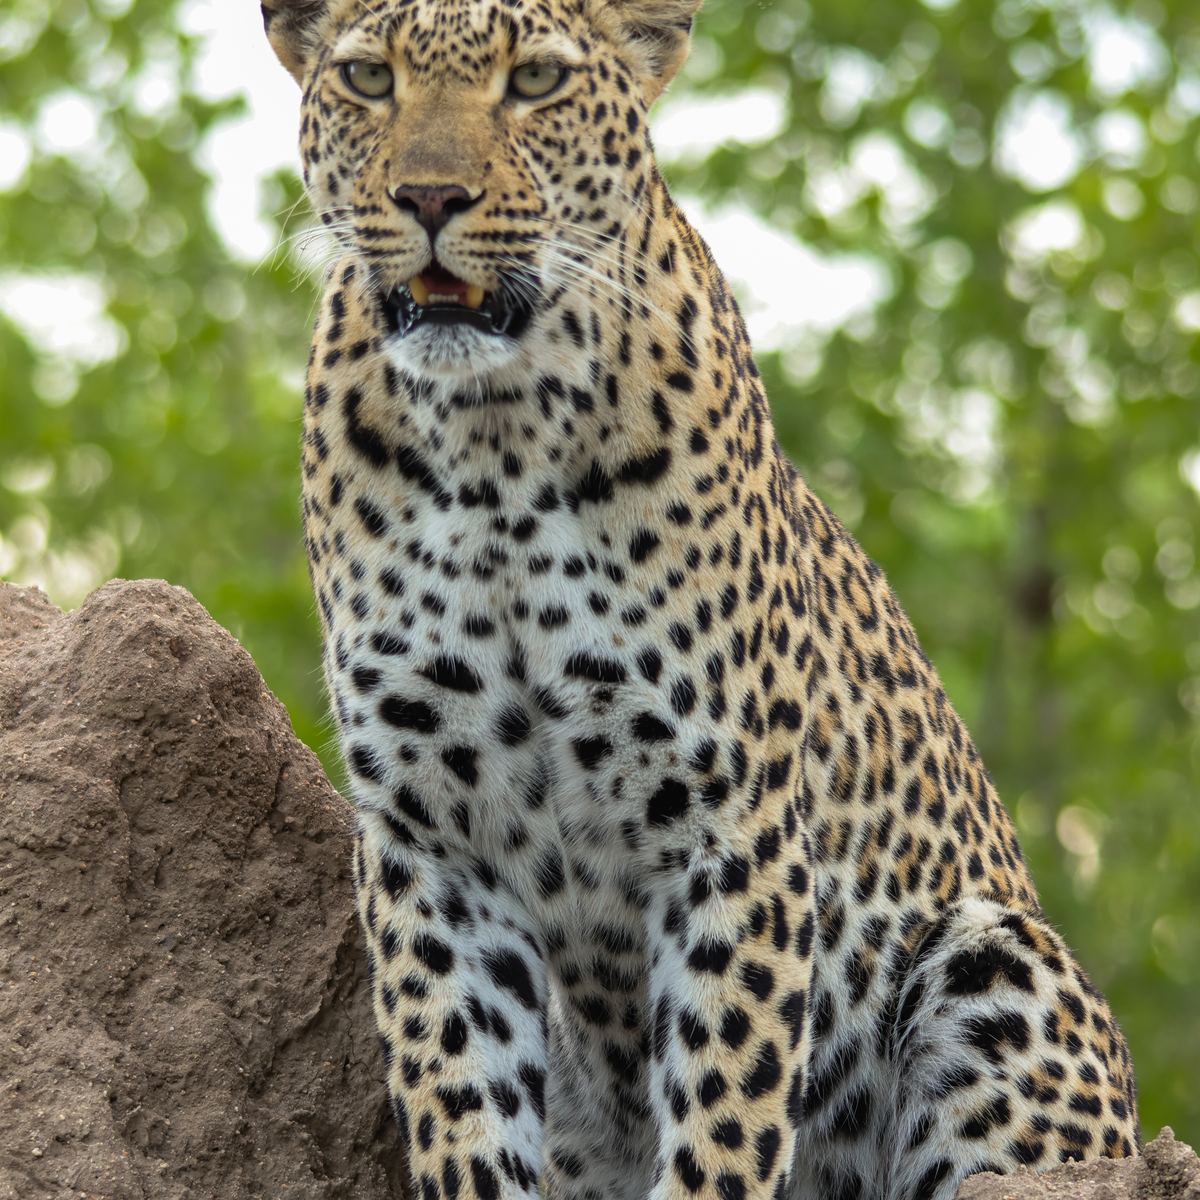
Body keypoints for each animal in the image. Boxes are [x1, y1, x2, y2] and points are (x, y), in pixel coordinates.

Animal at [260, 0, 1140, 1197]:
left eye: (534, 81)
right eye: (366, 78)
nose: (430, 198)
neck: (496, 442)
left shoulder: (732, 824)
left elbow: (726, 1108)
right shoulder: (429, 840)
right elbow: (461, 1104)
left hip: (994, 956)